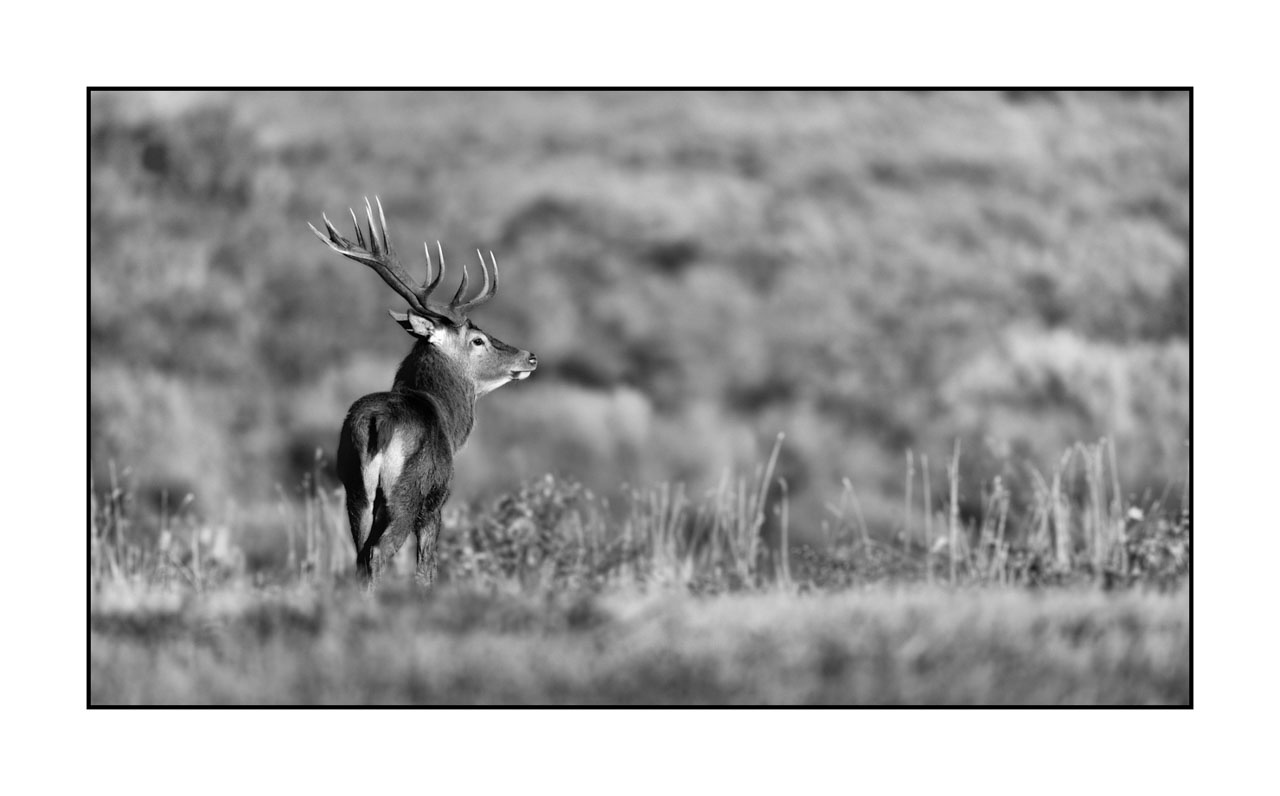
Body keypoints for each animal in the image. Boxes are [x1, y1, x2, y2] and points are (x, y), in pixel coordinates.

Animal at [309, 197, 537, 588]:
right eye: (478, 340)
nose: (529, 357)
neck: (450, 425)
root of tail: (377, 423)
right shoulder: (437, 499)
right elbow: (427, 569)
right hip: (407, 492)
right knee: (377, 553)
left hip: (355, 487)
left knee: (359, 556)